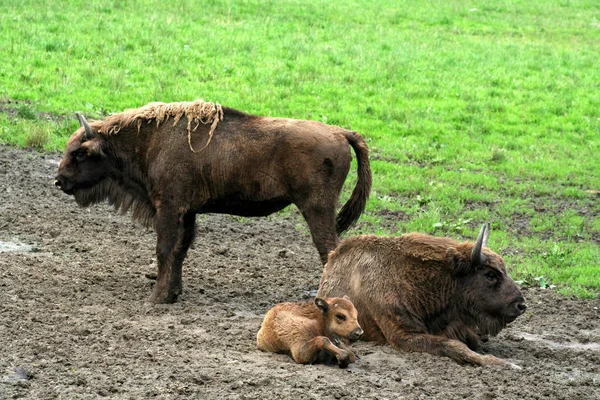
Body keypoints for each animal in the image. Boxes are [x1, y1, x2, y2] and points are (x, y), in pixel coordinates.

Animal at [55, 100, 370, 304]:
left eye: (79, 153)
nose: (59, 180)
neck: (149, 141)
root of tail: (341, 132)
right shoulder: (188, 211)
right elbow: (180, 250)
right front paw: (173, 294)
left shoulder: (168, 207)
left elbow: (164, 249)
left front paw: (156, 298)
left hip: (316, 209)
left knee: (329, 250)